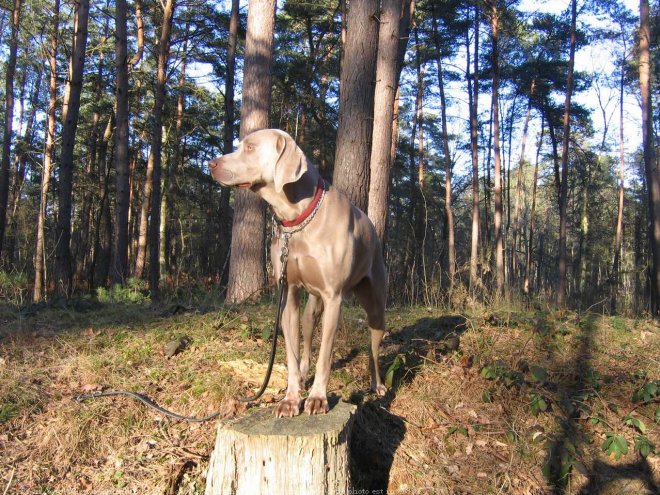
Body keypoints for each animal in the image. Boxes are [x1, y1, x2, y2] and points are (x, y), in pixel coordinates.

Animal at [210, 129, 386, 418]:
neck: (298, 219)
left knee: (373, 346)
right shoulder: (288, 293)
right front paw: (291, 399)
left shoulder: (334, 297)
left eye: (250, 147)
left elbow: (326, 355)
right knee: (307, 335)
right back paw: (304, 375)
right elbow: (292, 354)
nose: (211, 164)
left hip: (375, 305)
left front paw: (317, 398)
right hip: (312, 305)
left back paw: (378, 384)